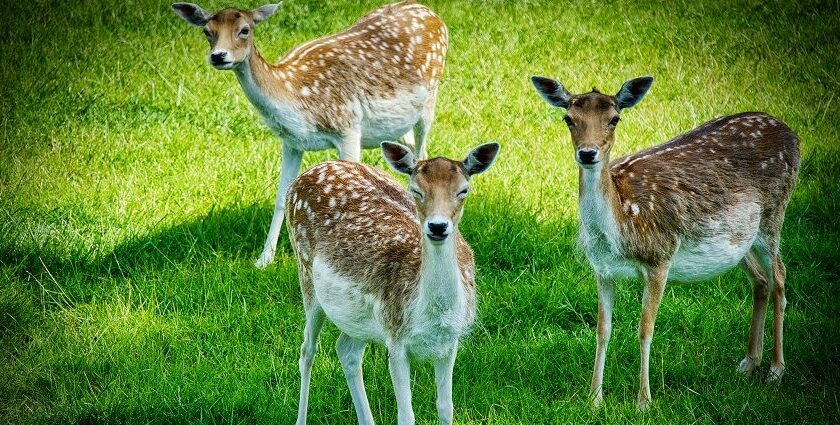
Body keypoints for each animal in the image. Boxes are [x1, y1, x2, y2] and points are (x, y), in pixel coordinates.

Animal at [171, 1, 446, 266]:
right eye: (208, 31)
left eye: (244, 30)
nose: (218, 56)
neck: (295, 100)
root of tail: (431, 12)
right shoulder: (291, 142)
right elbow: (281, 196)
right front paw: (264, 259)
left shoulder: (347, 126)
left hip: (429, 101)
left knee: (422, 149)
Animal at [286, 141, 502, 422]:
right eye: (416, 190)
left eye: (463, 190)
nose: (438, 226)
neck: (431, 314)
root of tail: (310, 170)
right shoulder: (395, 337)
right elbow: (406, 415)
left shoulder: (449, 341)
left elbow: (446, 408)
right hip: (307, 275)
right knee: (307, 351)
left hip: (359, 318)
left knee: (346, 350)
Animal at [532, 74, 800, 410]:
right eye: (568, 118)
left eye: (614, 118)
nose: (588, 153)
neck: (623, 224)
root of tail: (791, 132)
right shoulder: (602, 269)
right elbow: (602, 330)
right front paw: (594, 399)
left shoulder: (660, 257)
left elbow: (645, 329)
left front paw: (643, 401)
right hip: (740, 238)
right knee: (761, 280)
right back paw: (749, 362)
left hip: (774, 214)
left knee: (780, 276)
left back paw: (776, 370)